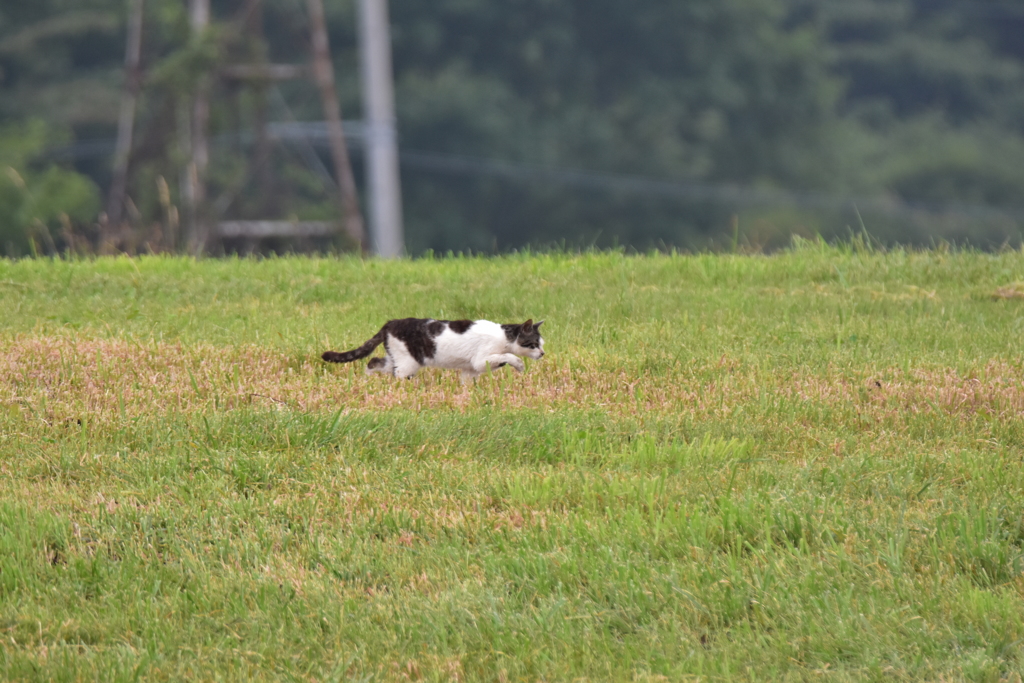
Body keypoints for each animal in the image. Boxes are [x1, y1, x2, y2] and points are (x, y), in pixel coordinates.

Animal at [321, 319, 544, 382]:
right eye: (534, 344)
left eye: (542, 344)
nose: (542, 354)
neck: (505, 336)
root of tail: (390, 323)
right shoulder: (480, 359)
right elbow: (507, 356)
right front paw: (519, 365)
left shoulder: (470, 369)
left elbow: (468, 382)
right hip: (409, 363)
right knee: (397, 376)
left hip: (397, 357)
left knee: (373, 361)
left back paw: (366, 380)